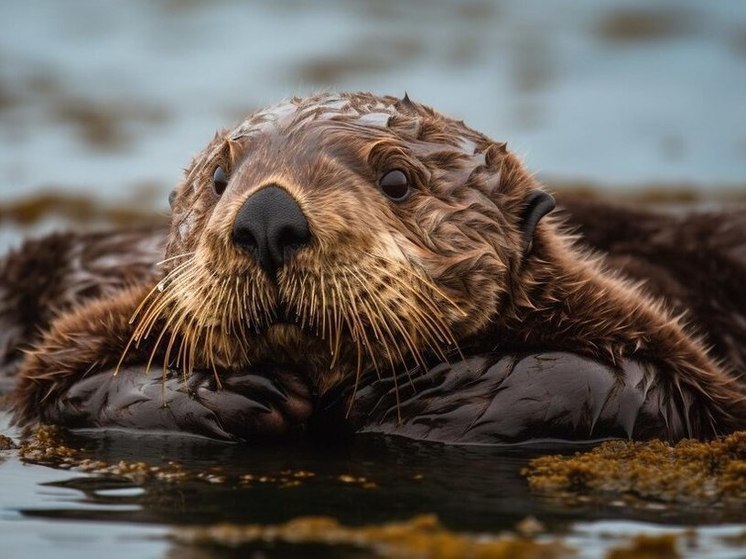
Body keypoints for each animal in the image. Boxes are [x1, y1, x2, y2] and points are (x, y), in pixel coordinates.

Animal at [4, 93, 744, 442]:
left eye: (396, 180)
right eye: (218, 178)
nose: (267, 215)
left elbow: (642, 384)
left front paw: (424, 395)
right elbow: (60, 383)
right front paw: (231, 391)